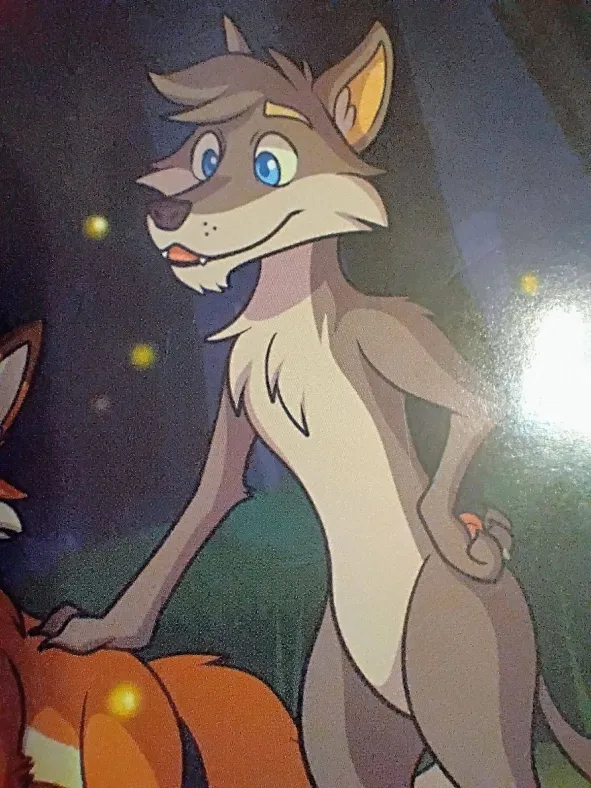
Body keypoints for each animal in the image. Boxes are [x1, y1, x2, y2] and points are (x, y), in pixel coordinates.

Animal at [32, 16, 591, 788]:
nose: (169, 212)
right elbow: (206, 501)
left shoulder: (379, 329)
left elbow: (479, 404)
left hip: (461, 676)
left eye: (272, 165)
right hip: (345, 706)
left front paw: (456, 534)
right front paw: (97, 633)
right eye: (207, 155)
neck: (286, 310)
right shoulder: (233, 397)